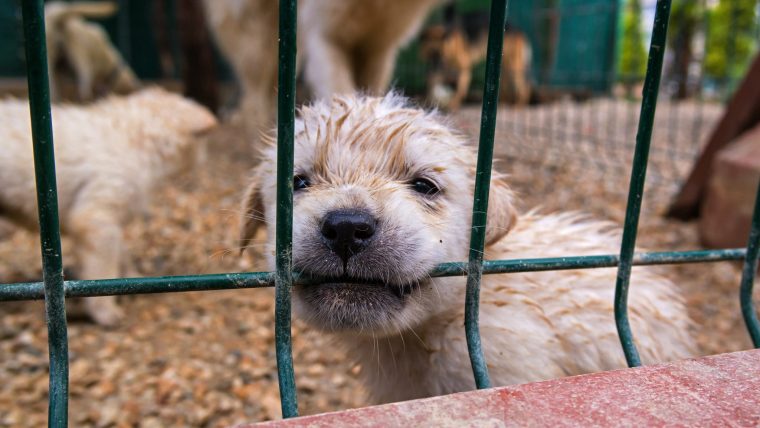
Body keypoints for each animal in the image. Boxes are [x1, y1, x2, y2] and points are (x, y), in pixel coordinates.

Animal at [1, 88, 218, 326]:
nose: (205, 158)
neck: (136, 138)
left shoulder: (108, 222)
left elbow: (121, 253)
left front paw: (133, 280)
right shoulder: (96, 217)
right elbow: (103, 267)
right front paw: (106, 312)